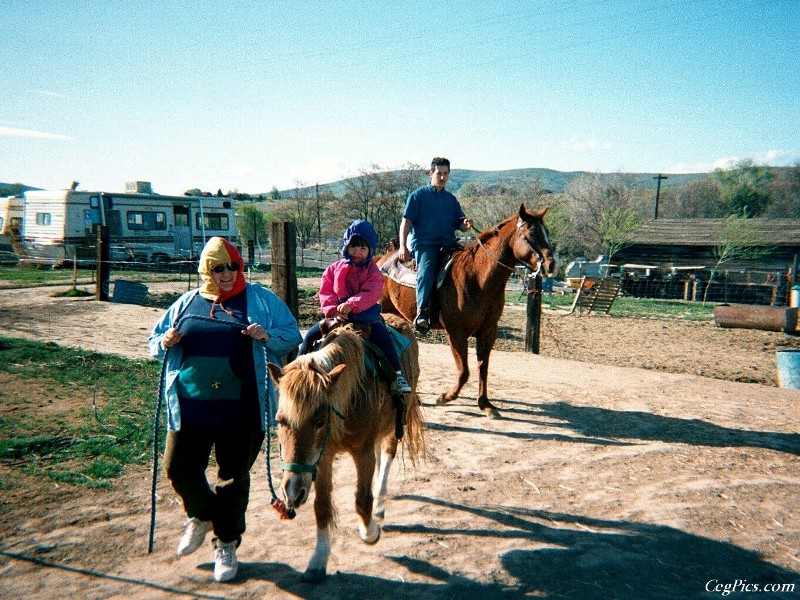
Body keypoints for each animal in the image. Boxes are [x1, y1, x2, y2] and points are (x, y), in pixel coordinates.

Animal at [266, 316, 424, 584]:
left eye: (320, 420)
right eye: (280, 420)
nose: (292, 492)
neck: (349, 395)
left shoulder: (362, 451)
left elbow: (362, 500)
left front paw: (370, 533)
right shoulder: (323, 457)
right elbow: (322, 506)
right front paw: (318, 561)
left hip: (393, 426)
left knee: (386, 458)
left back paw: (380, 505)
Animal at [380, 203, 556, 418]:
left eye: (547, 232)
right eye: (531, 233)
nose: (551, 264)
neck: (478, 277)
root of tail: (380, 260)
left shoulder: (488, 332)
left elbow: (483, 368)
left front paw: (485, 404)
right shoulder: (456, 333)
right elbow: (464, 371)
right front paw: (445, 397)